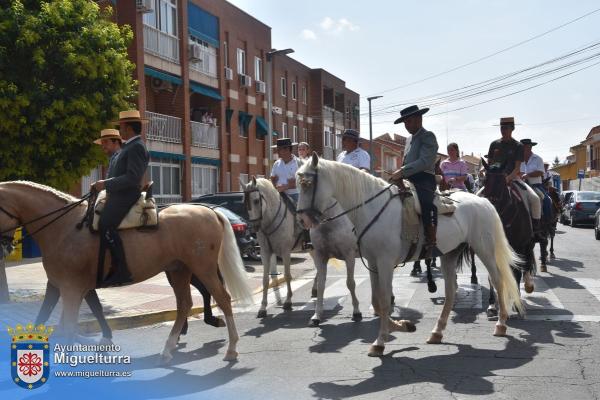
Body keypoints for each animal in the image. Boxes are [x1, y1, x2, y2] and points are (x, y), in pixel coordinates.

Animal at [0, 181, 251, 362]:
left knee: (223, 299)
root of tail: (211, 212)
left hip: (203, 269)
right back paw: (168, 349)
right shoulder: (59, 285)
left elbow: (69, 325)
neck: (64, 227)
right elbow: (47, 318)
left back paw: (231, 349)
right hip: (178, 270)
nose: (5, 248)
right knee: (184, 304)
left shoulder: (72, 288)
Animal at [241, 176, 358, 324]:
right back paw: (315, 289)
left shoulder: (285, 251)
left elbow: (287, 275)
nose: (254, 226)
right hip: (312, 250)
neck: (269, 221)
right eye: (244, 201)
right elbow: (265, 280)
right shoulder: (265, 252)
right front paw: (262, 308)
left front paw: (288, 301)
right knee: (318, 269)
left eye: (256, 200)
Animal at [298, 155, 524, 356]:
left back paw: (501, 324)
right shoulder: (373, 262)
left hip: (484, 249)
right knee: (451, 291)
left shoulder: (385, 262)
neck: (372, 209)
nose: (302, 221)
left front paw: (380, 342)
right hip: (449, 254)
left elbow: (385, 300)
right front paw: (401, 326)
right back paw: (437, 332)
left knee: (497, 279)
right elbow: (377, 301)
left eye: (308, 184)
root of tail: (483, 201)